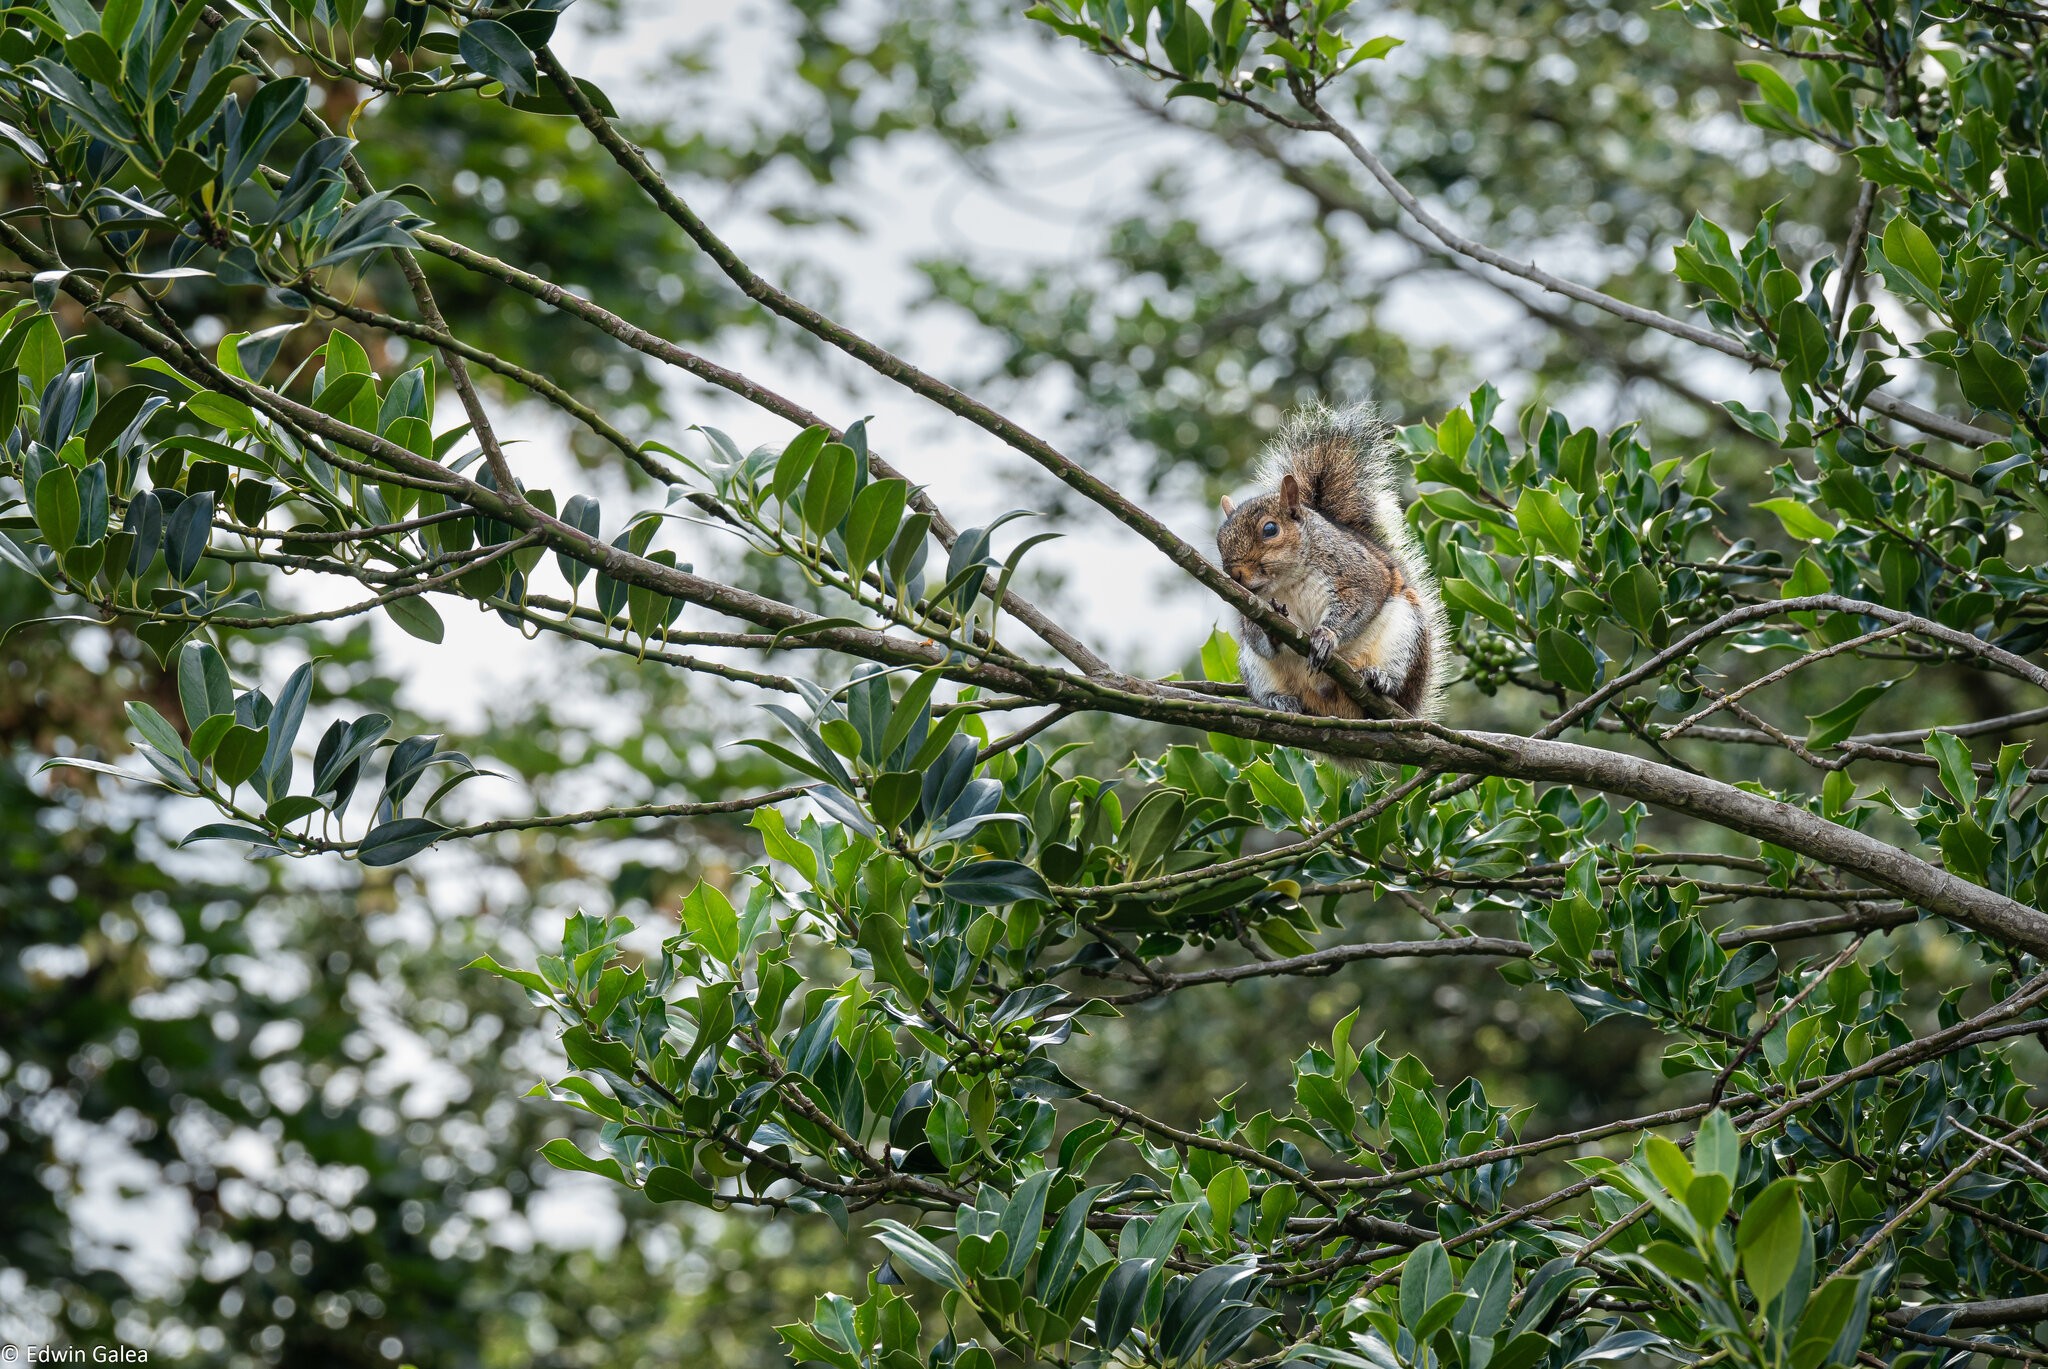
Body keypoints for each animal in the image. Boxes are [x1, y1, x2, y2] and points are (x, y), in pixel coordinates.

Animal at [1204, 403, 1449, 721]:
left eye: (1270, 529)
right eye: (1220, 538)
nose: (1235, 574)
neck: (1288, 581)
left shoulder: (1358, 573)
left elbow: (1361, 602)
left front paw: (1326, 636)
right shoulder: (1248, 607)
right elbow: (1257, 637)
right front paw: (1271, 630)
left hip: (1406, 634)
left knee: (1397, 684)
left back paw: (1382, 680)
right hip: (1253, 666)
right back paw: (1278, 700)